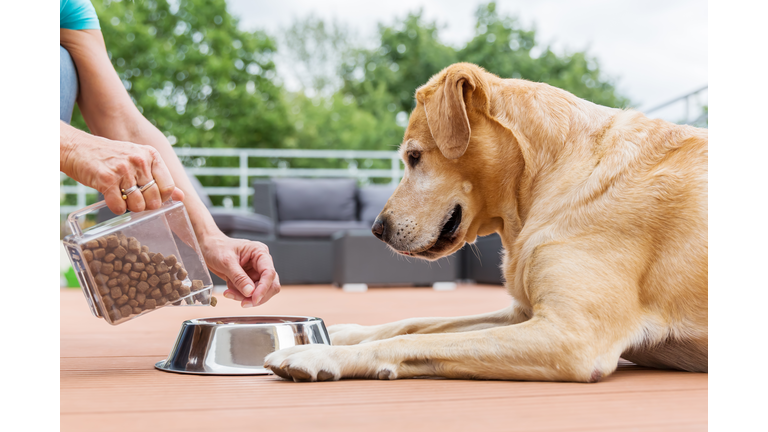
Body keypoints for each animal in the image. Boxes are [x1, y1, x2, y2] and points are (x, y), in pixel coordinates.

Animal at [266, 63, 708, 382]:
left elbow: (409, 340)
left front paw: (319, 352)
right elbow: (415, 323)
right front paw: (341, 332)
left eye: (414, 157)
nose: (377, 229)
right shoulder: (522, 314)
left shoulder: (571, 335)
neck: (550, 174)